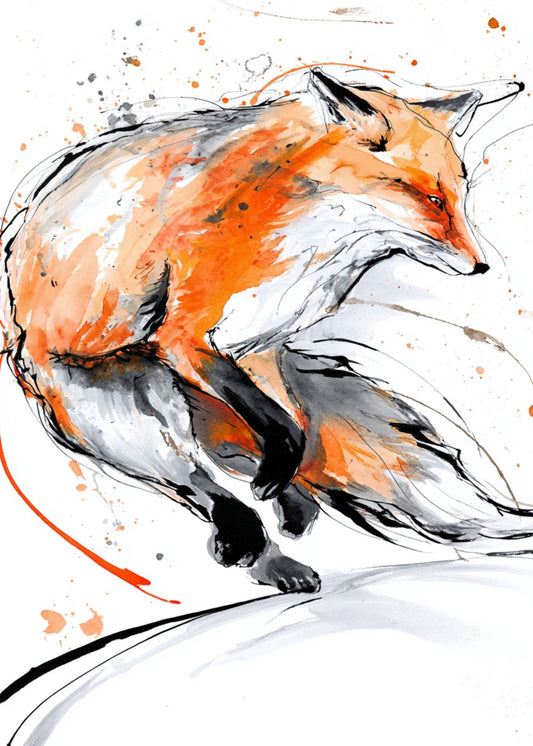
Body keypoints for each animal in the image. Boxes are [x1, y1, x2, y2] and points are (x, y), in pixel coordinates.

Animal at [0, 66, 527, 593]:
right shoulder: (183, 334)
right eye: (432, 198)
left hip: (198, 425)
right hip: (133, 411)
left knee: (226, 476)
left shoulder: (261, 348)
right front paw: (277, 487)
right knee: (196, 484)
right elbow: (276, 422)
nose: (482, 266)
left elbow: (295, 422)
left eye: (461, 194)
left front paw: (287, 493)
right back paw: (248, 538)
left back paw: (284, 541)